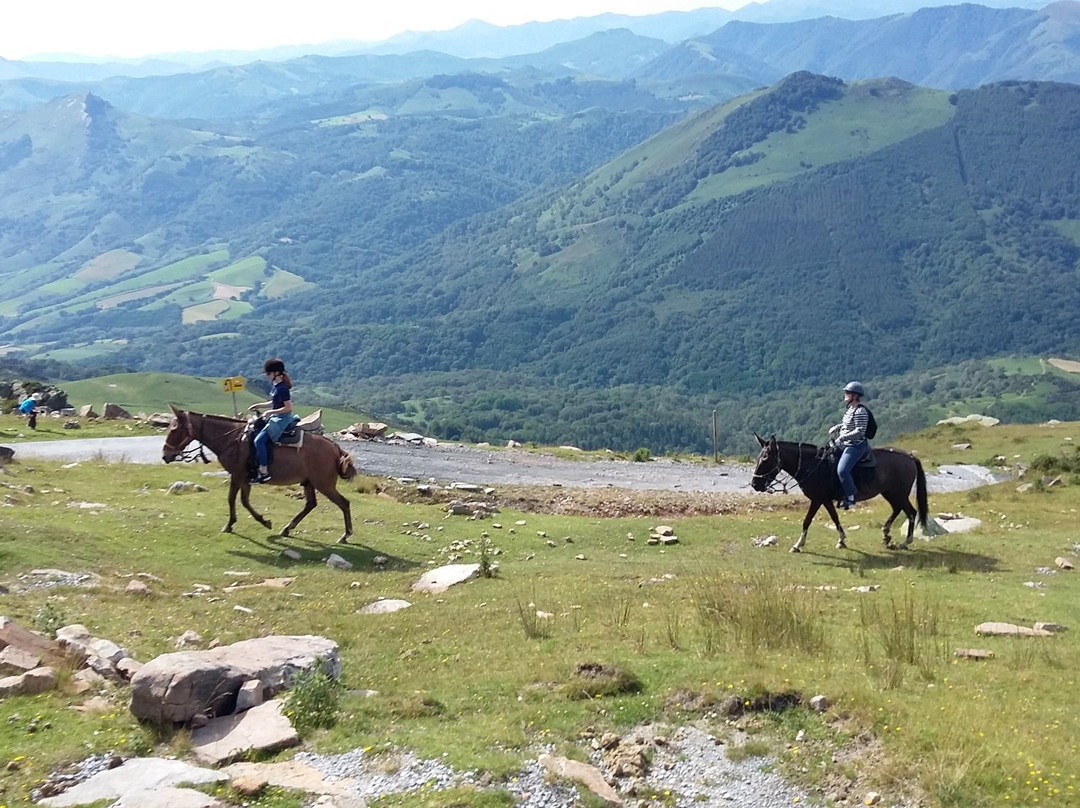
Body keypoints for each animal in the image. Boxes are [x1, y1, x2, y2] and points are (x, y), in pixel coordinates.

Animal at [162, 404, 354, 542]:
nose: (165, 455)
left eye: (174, 429)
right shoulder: (246, 478)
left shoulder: (237, 475)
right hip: (309, 482)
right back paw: (287, 529)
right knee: (311, 504)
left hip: (324, 484)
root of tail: (334, 447)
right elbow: (244, 501)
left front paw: (230, 525)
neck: (232, 439)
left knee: (344, 503)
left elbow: (233, 499)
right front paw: (263, 521)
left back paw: (345, 535)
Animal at [751, 436, 928, 557]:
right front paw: (841, 541)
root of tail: (910, 456)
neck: (813, 466)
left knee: (911, 512)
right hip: (890, 493)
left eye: (765, 459)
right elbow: (834, 517)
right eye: (758, 458)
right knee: (898, 509)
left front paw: (797, 545)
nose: (754, 484)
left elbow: (807, 520)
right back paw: (886, 534)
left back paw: (906, 542)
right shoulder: (825, 500)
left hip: (899, 493)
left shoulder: (818, 499)